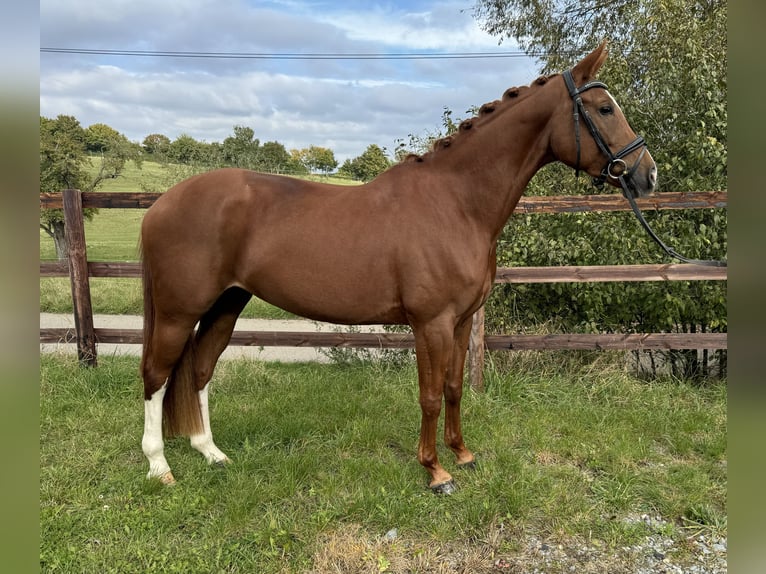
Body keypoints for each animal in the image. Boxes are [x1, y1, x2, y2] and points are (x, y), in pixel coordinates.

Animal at [141, 45, 656, 496]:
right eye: (604, 109)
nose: (646, 174)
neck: (455, 203)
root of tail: (162, 204)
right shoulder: (431, 324)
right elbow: (429, 395)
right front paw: (436, 472)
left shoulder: (461, 321)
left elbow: (453, 388)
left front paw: (463, 455)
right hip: (178, 311)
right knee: (156, 375)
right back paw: (160, 468)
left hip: (226, 304)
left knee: (200, 370)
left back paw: (211, 453)